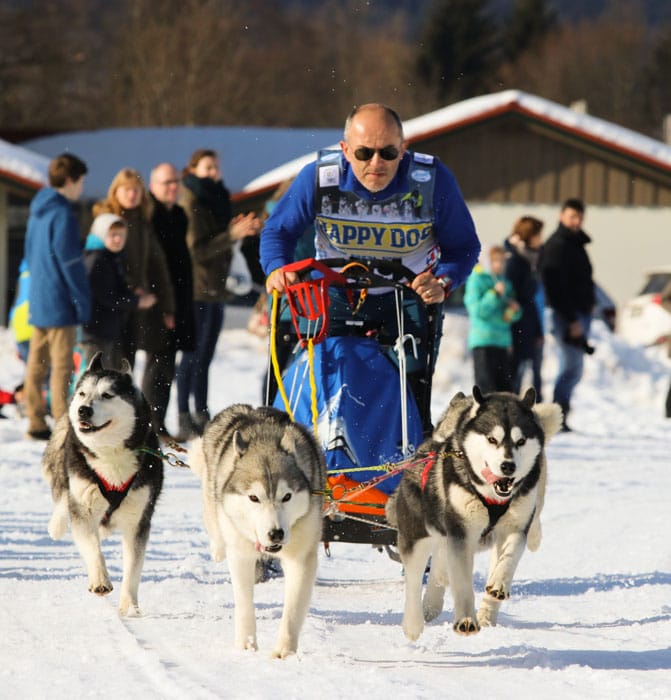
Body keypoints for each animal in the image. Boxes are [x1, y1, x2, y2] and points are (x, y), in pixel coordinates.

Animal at [42, 352, 163, 616]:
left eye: (107, 395)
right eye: (82, 393)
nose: (83, 410)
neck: (110, 455)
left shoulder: (138, 520)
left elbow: (133, 567)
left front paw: (130, 606)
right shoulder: (83, 509)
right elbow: (92, 548)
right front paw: (99, 580)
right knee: (62, 495)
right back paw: (56, 525)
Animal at [190, 404, 326, 656]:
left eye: (287, 496)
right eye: (254, 497)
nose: (276, 533)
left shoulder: (301, 557)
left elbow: (292, 610)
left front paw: (284, 652)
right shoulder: (240, 554)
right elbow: (244, 602)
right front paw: (246, 644)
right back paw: (217, 547)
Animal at [388, 388, 560, 640]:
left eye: (520, 441)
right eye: (492, 439)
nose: (508, 466)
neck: (492, 497)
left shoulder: (516, 526)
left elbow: (510, 556)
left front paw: (499, 584)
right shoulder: (460, 533)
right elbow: (461, 583)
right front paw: (466, 619)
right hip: (416, 536)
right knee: (414, 578)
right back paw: (414, 624)